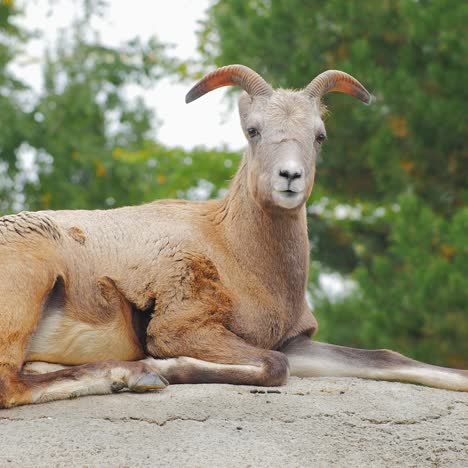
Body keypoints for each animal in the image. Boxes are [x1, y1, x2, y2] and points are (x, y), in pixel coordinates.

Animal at [0, 64, 466, 408]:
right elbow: (274, 366)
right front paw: (164, 368)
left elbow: (385, 357)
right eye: (253, 130)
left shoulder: (297, 344)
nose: (290, 176)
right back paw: (135, 375)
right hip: (30, 285)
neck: (238, 254)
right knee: (10, 385)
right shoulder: (187, 329)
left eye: (319, 135)